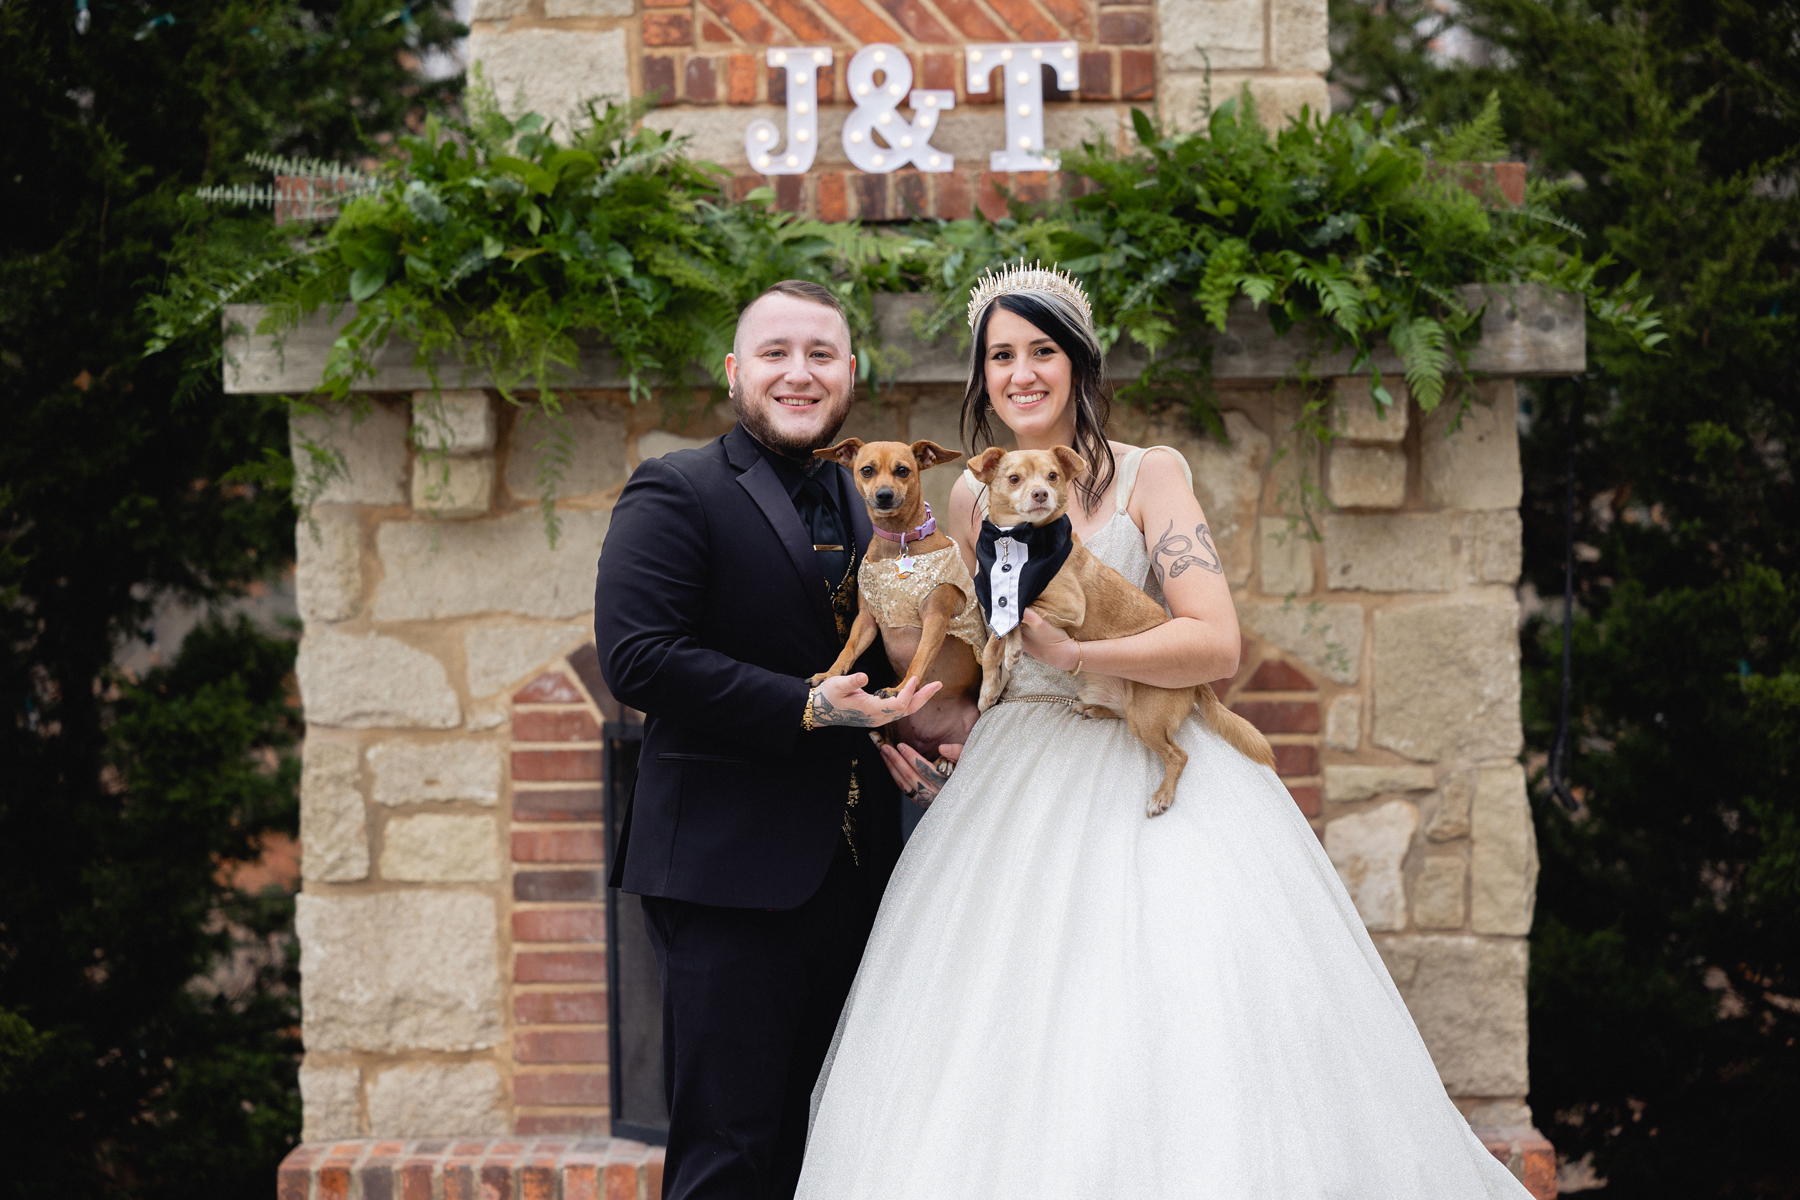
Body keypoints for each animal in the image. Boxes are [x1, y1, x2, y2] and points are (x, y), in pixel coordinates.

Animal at [972, 446, 1281, 820]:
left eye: (1052, 477)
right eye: (1014, 478)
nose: (1041, 493)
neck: (1018, 541)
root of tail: (1199, 683)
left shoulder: (1068, 605)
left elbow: (1018, 615)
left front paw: (1013, 648)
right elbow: (996, 635)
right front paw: (990, 686)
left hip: (1146, 719)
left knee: (1179, 755)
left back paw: (1162, 795)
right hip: (1127, 709)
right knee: (1124, 717)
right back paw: (1095, 710)